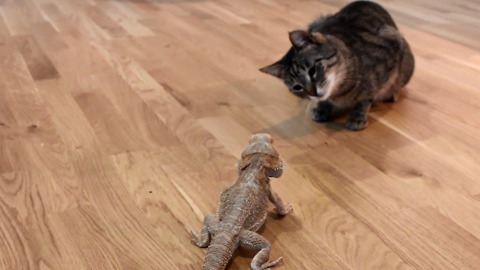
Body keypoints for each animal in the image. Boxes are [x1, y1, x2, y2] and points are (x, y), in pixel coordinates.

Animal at [260, 0, 414, 131]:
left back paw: (393, 93)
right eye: (297, 87)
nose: (313, 93)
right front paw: (322, 108)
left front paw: (357, 117)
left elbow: (366, 97)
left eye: (312, 71)